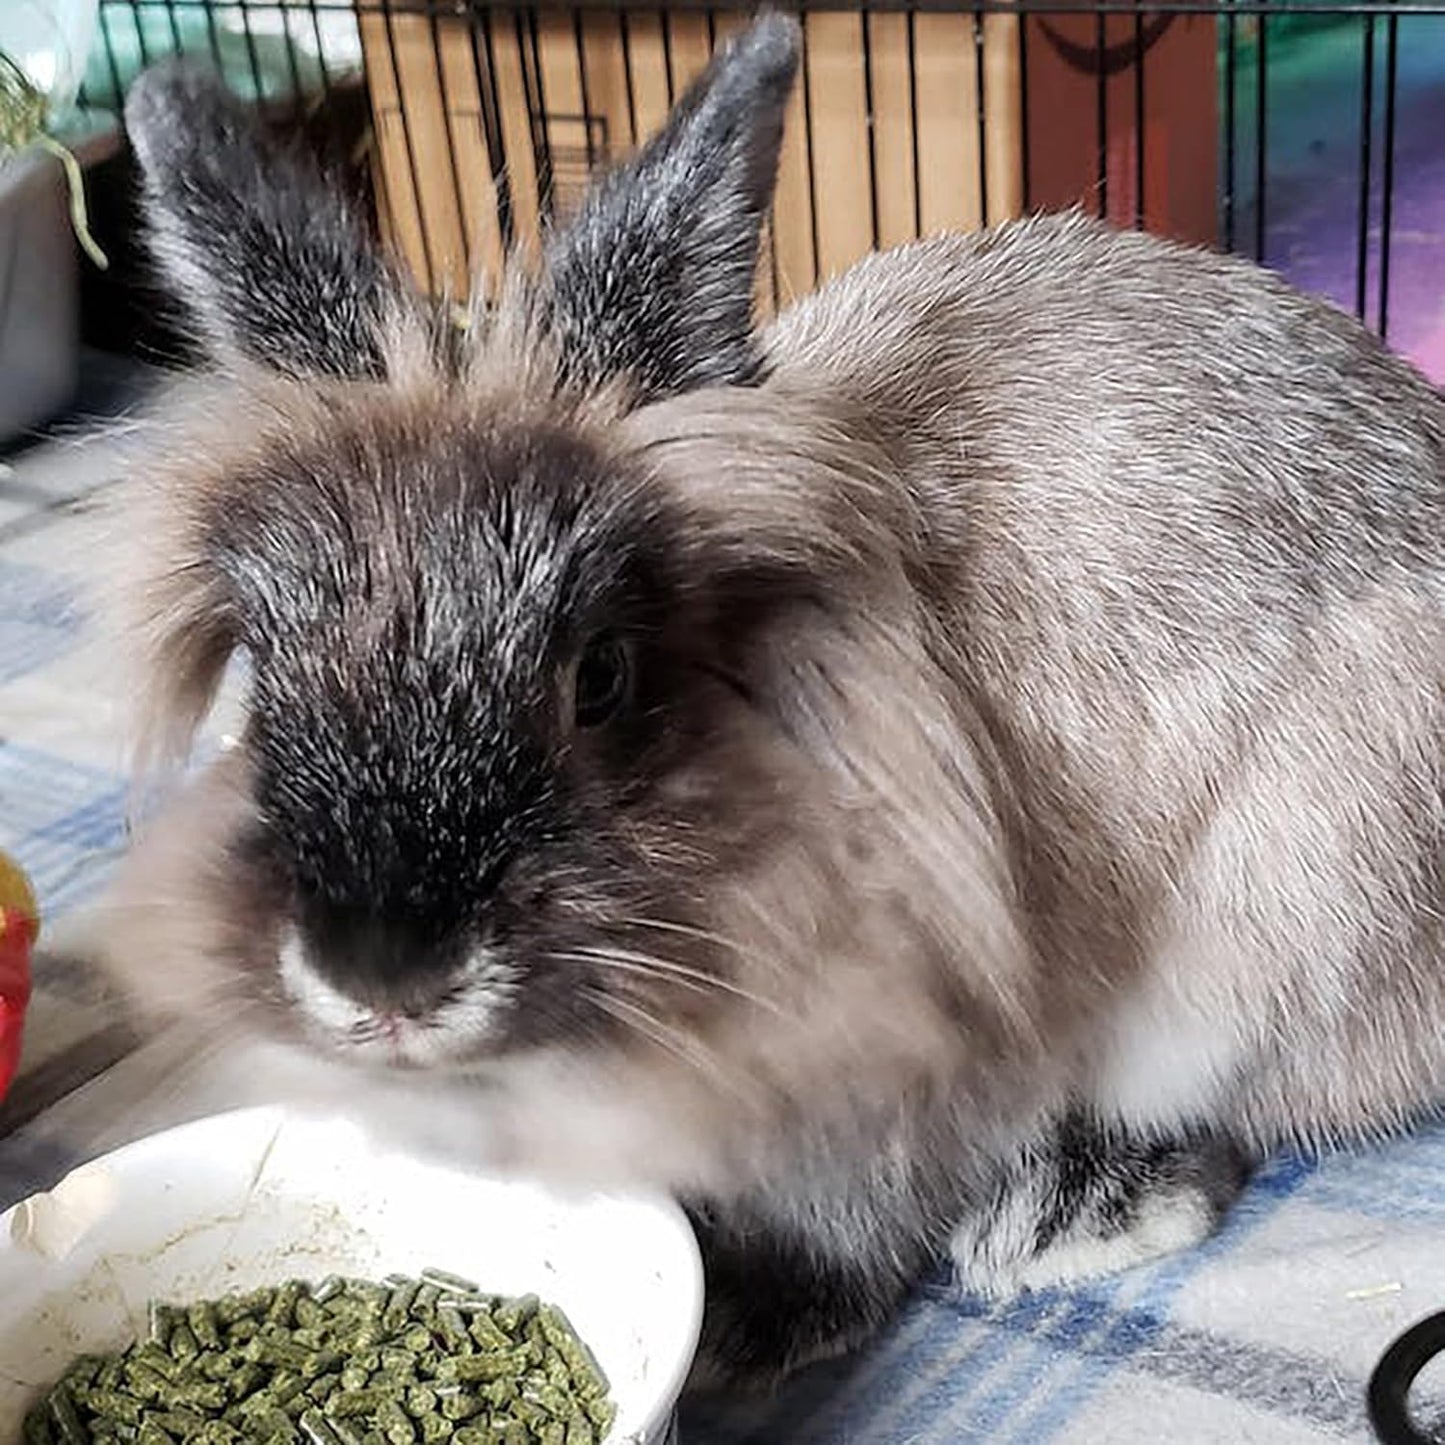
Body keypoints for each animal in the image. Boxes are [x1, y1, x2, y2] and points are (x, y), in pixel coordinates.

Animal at [94, 12, 1443, 1392]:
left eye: (600, 675)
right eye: (264, 675)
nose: (382, 980)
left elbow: (851, 1209)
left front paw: (748, 1322)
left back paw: (1073, 1212)